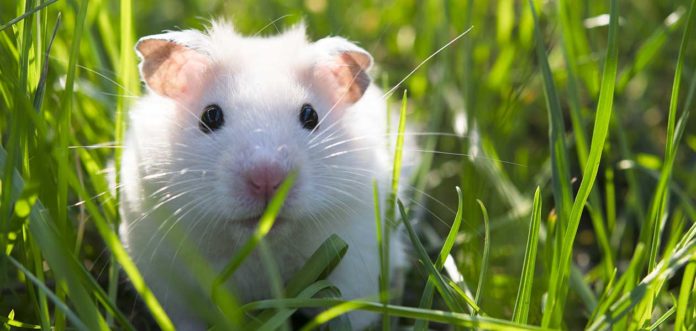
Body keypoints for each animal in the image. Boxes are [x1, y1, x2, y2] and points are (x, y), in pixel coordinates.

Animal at [119, 20, 410, 330]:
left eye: (310, 116)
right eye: (210, 116)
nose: (267, 179)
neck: (262, 246)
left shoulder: (357, 259)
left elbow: (349, 311)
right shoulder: (171, 280)